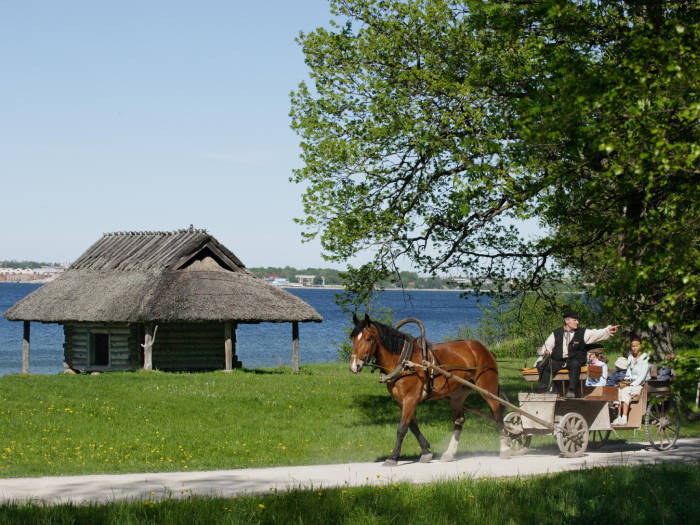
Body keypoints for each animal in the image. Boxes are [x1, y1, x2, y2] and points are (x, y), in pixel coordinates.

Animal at [350, 314, 508, 464]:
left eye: (369, 339)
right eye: (352, 338)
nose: (354, 366)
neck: (404, 361)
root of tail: (483, 348)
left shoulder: (410, 398)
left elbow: (402, 428)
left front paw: (393, 457)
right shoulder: (402, 401)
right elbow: (413, 426)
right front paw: (426, 451)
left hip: (488, 388)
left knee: (498, 415)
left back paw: (505, 449)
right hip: (458, 394)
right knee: (459, 420)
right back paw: (449, 453)